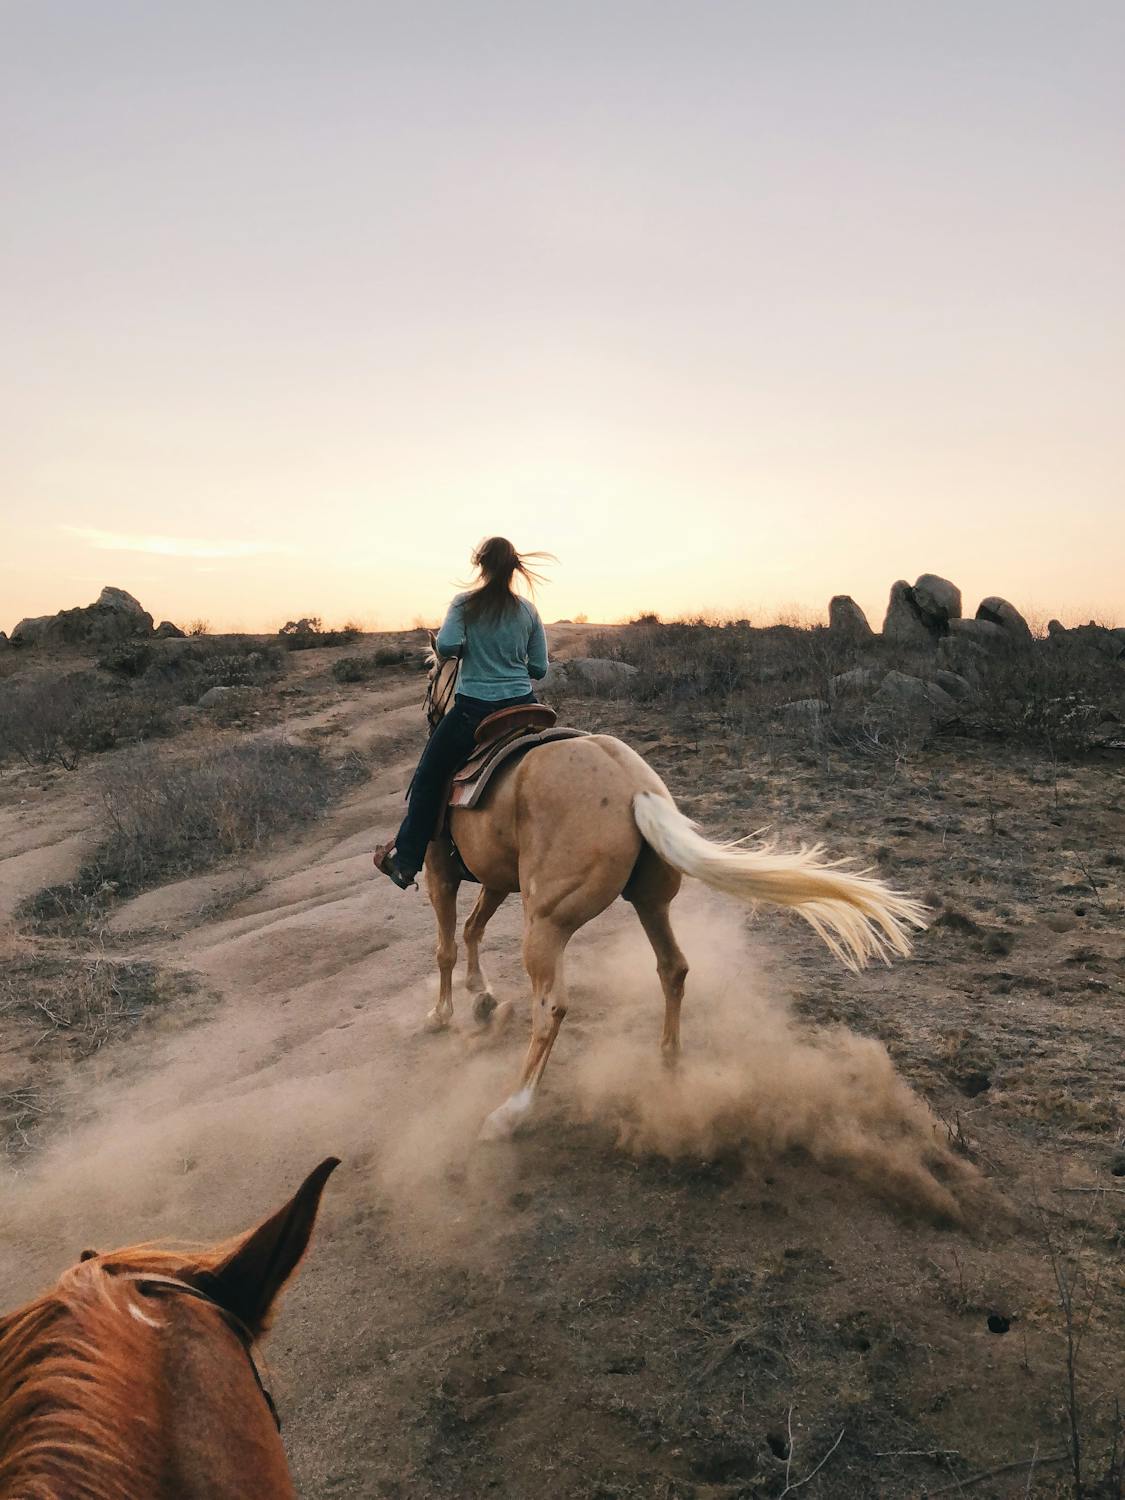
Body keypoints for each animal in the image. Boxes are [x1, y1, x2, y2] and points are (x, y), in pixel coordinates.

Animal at [420, 648, 930, 1134]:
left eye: (430, 676)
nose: (430, 711)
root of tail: (634, 788)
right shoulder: (494, 877)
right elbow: (473, 927)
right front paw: (481, 995)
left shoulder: (437, 868)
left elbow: (446, 945)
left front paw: (442, 1013)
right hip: (651, 901)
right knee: (673, 968)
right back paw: (669, 1063)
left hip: (547, 921)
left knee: (551, 1007)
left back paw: (511, 1110)